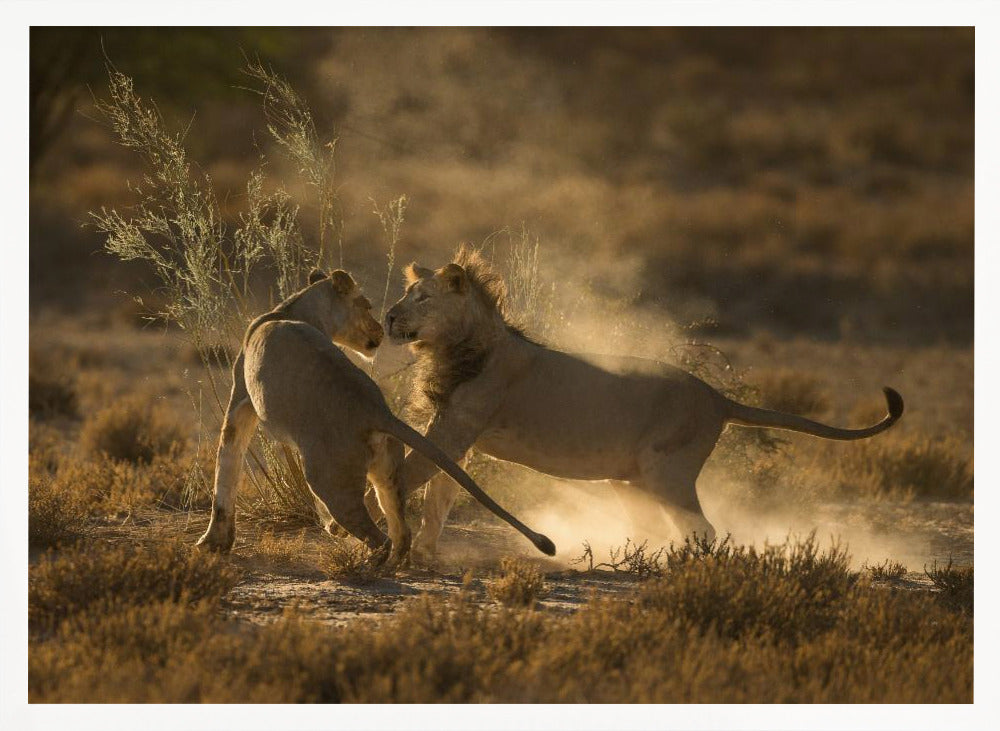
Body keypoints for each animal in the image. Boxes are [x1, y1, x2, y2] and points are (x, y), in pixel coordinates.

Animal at [196, 267, 556, 565]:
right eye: (367, 306)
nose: (382, 330)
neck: (293, 310)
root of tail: (377, 410)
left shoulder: (240, 402)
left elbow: (227, 465)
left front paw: (213, 542)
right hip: (388, 473)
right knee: (400, 530)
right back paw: (395, 563)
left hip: (329, 479)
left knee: (375, 535)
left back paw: (365, 563)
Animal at [383, 245, 904, 561]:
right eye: (407, 293)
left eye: (422, 298)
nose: (388, 316)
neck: (456, 347)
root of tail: (716, 396)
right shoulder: (456, 437)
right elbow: (439, 496)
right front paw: (424, 554)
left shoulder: (456, 427)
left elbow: (411, 473)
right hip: (630, 480)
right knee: (661, 527)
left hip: (666, 469)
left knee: (702, 528)